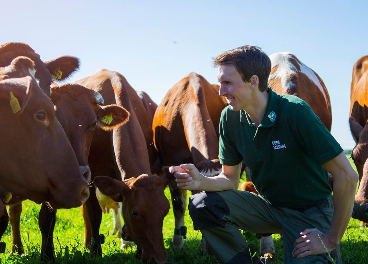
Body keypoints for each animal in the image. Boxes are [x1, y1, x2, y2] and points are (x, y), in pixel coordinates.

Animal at [75, 69, 172, 262]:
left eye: (166, 210)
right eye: (135, 212)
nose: (159, 258)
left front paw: (138, 250)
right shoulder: (92, 176)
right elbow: (94, 215)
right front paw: (95, 251)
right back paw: (88, 243)